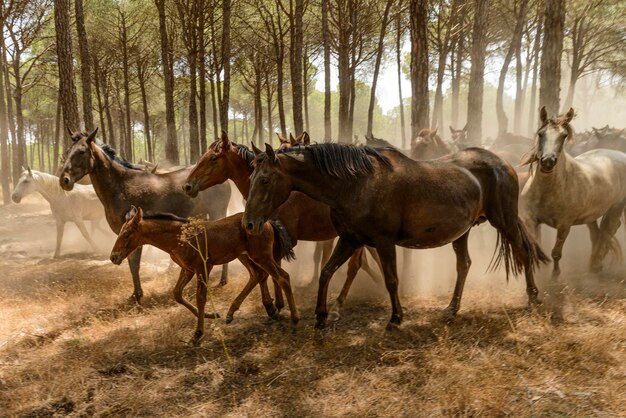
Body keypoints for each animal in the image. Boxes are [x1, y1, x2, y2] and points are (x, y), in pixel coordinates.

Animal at [59, 129, 232, 302]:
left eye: (82, 151)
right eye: (68, 151)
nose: (64, 180)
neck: (121, 186)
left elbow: (134, 264)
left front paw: (137, 295)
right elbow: (131, 264)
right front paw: (136, 293)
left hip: (217, 213)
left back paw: (223, 279)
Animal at [109, 207, 298, 346]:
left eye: (126, 234)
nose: (113, 257)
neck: (179, 236)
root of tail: (267, 221)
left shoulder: (202, 267)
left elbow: (200, 297)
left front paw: (197, 334)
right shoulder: (187, 269)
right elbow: (177, 293)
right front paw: (211, 315)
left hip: (262, 256)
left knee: (282, 277)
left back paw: (294, 321)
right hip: (245, 256)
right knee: (258, 275)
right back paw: (237, 312)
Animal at [183, 134, 380, 320]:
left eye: (213, 158)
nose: (187, 185)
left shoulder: (282, 238)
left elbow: (268, 272)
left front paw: (273, 305)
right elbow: (267, 271)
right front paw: (273, 304)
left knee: (355, 265)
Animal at [241, 144, 544, 330]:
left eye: (265, 179)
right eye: (251, 177)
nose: (249, 224)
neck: (357, 184)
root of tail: (504, 164)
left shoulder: (384, 242)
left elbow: (391, 280)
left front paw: (396, 318)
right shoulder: (350, 240)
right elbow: (327, 272)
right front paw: (321, 317)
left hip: (504, 221)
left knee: (523, 252)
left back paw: (532, 299)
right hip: (463, 232)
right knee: (464, 265)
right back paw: (452, 308)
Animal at [516, 108, 624, 276]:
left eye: (564, 136)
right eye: (540, 134)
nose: (548, 161)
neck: (548, 189)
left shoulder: (564, 225)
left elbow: (556, 253)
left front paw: (555, 276)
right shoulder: (531, 220)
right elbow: (536, 247)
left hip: (616, 207)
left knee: (608, 229)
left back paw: (596, 264)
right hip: (591, 215)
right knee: (596, 233)